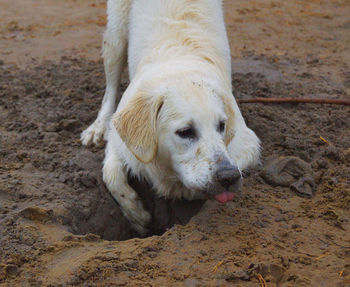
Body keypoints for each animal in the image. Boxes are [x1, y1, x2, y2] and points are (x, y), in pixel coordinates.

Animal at [80, 0, 260, 236]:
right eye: (185, 132)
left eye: (221, 126)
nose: (229, 176)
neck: (180, 68)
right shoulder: (121, 141)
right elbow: (111, 176)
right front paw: (137, 215)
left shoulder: (246, 142)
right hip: (115, 35)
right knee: (110, 87)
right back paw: (97, 127)